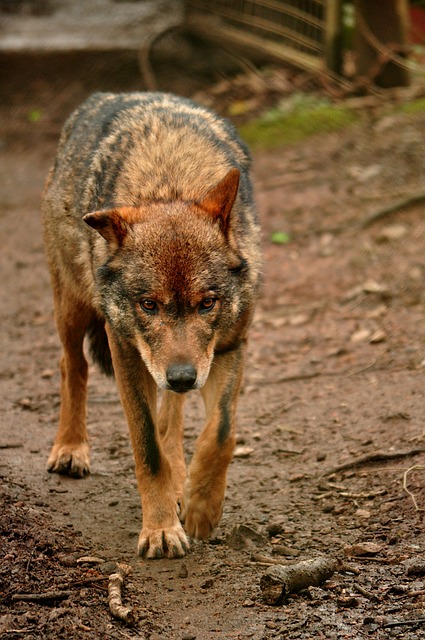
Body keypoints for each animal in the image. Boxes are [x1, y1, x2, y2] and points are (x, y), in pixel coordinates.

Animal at [42, 92, 261, 558]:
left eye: (207, 303)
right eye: (148, 304)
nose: (181, 377)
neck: (169, 182)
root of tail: (103, 96)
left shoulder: (230, 345)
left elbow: (221, 434)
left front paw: (200, 506)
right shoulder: (124, 348)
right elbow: (147, 447)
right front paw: (161, 530)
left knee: (172, 417)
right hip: (73, 307)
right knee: (73, 365)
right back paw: (70, 449)